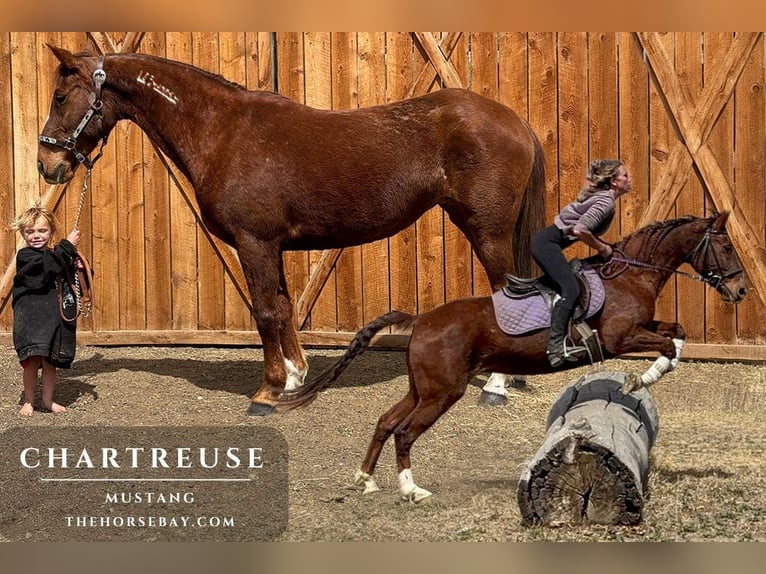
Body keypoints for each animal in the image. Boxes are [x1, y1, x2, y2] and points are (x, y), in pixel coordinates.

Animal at [36, 44, 547, 416]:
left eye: (60, 97)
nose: (47, 165)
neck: (222, 132)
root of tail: (514, 120)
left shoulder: (254, 243)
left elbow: (264, 312)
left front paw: (267, 393)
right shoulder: (271, 246)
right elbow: (282, 308)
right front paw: (295, 378)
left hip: (487, 231)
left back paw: (497, 385)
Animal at [276, 212, 747, 502]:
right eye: (726, 247)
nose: (740, 290)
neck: (630, 275)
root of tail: (423, 319)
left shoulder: (641, 329)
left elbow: (677, 333)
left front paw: (646, 376)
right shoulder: (620, 338)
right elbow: (665, 346)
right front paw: (639, 380)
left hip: (423, 388)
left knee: (386, 422)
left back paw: (365, 479)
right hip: (442, 393)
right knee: (405, 433)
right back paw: (411, 491)